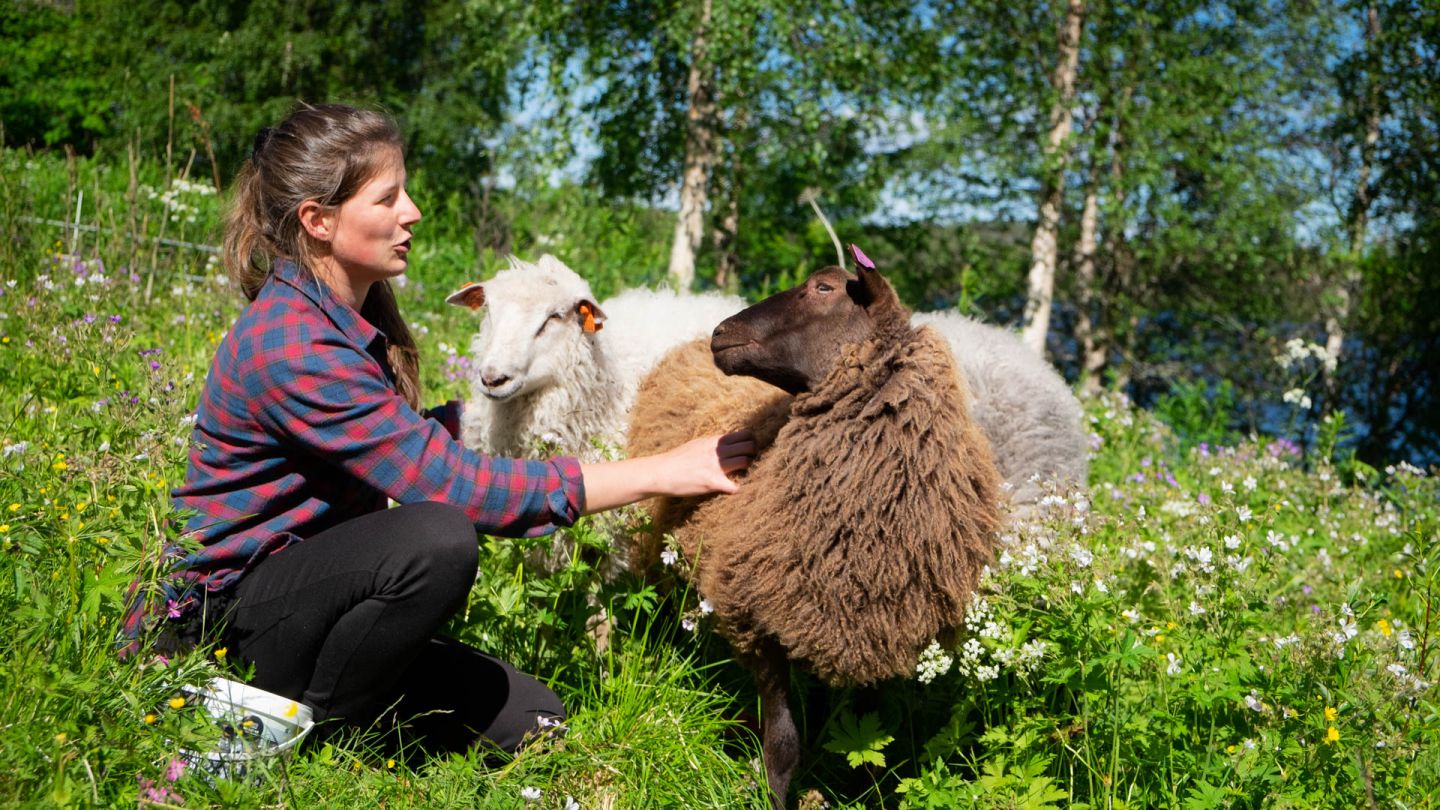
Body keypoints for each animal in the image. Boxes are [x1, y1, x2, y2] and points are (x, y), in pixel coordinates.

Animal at [624, 249, 1008, 801]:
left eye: (825, 288)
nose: (721, 334)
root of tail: (684, 346)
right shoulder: (757, 614)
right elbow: (783, 742)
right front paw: (773, 796)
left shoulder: (875, 627)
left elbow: (871, 735)